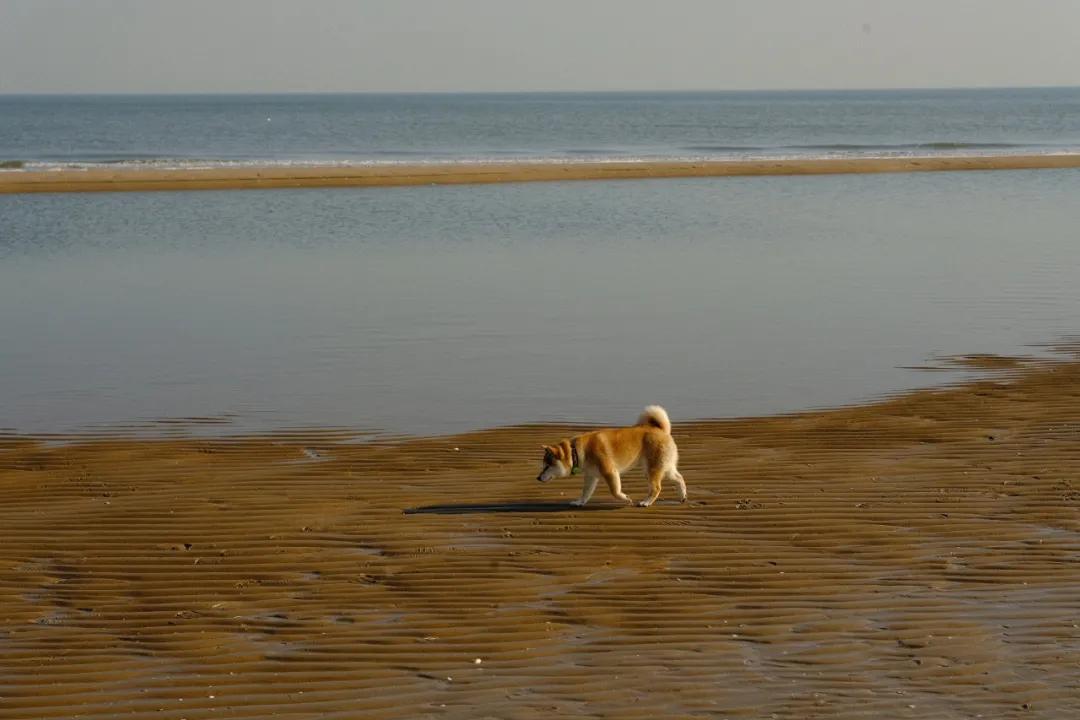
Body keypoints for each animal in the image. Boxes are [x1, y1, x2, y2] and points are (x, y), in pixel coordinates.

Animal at [537, 405, 686, 507]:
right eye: (543, 466)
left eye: (547, 466)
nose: (537, 478)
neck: (575, 451)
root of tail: (661, 430)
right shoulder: (591, 476)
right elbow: (586, 492)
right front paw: (579, 502)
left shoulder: (610, 472)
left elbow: (615, 491)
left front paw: (625, 498)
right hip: (664, 468)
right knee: (679, 478)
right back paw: (682, 496)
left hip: (652, 469)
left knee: (656, 488)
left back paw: (646, 502)